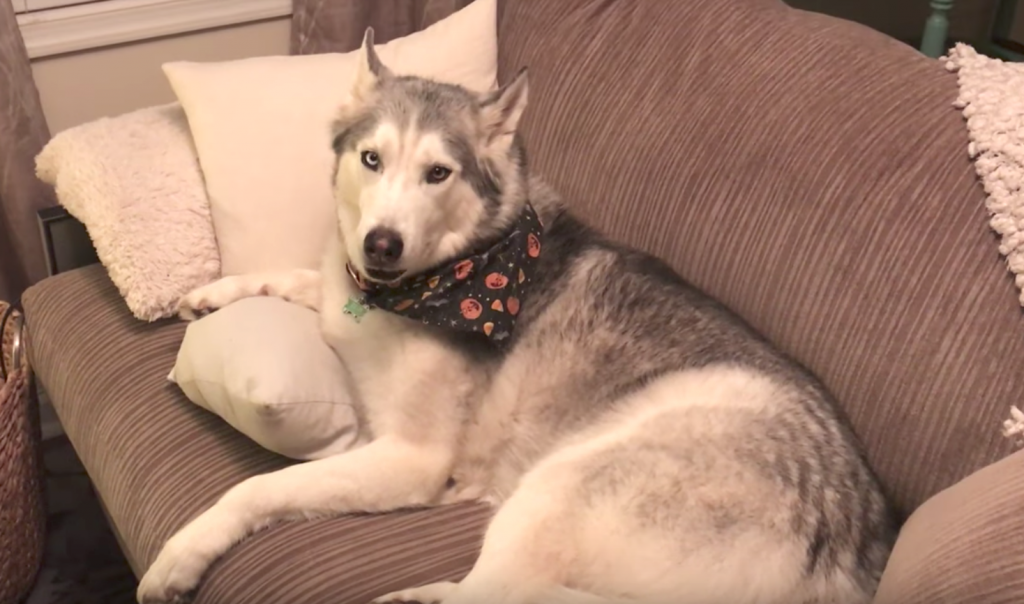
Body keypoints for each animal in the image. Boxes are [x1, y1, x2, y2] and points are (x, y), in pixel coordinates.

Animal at [138, 29, 897, 604]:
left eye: (438, 173)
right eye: (371, 158)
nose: (382, 243)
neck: (419, 286)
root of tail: (852, 544)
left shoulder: (409, 459)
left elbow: (261, 486)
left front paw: (184, 551)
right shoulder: (340, 290)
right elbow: (300, 275)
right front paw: (213, 291)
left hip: (566, 483)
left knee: (496, 591)